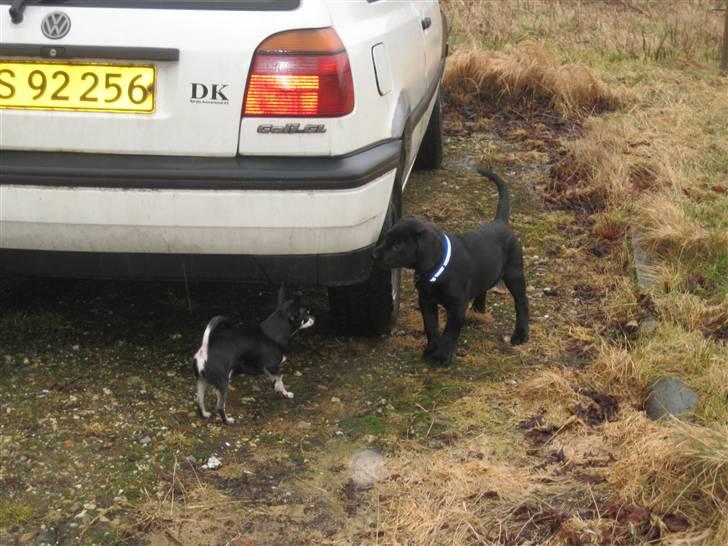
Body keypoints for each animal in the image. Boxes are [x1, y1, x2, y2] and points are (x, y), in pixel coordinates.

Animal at [372, 168, 528, 364]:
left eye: (398, 246)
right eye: (387, 237)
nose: (373, 255)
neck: (438, 268)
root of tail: (500, 223)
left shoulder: (457, 305)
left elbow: (450, 332)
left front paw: (441, 356)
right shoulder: (426, 300)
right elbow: (431, 326)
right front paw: (431, 348)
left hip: (515, 274)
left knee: (522, 304)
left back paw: (520, 334)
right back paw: (478, 310)